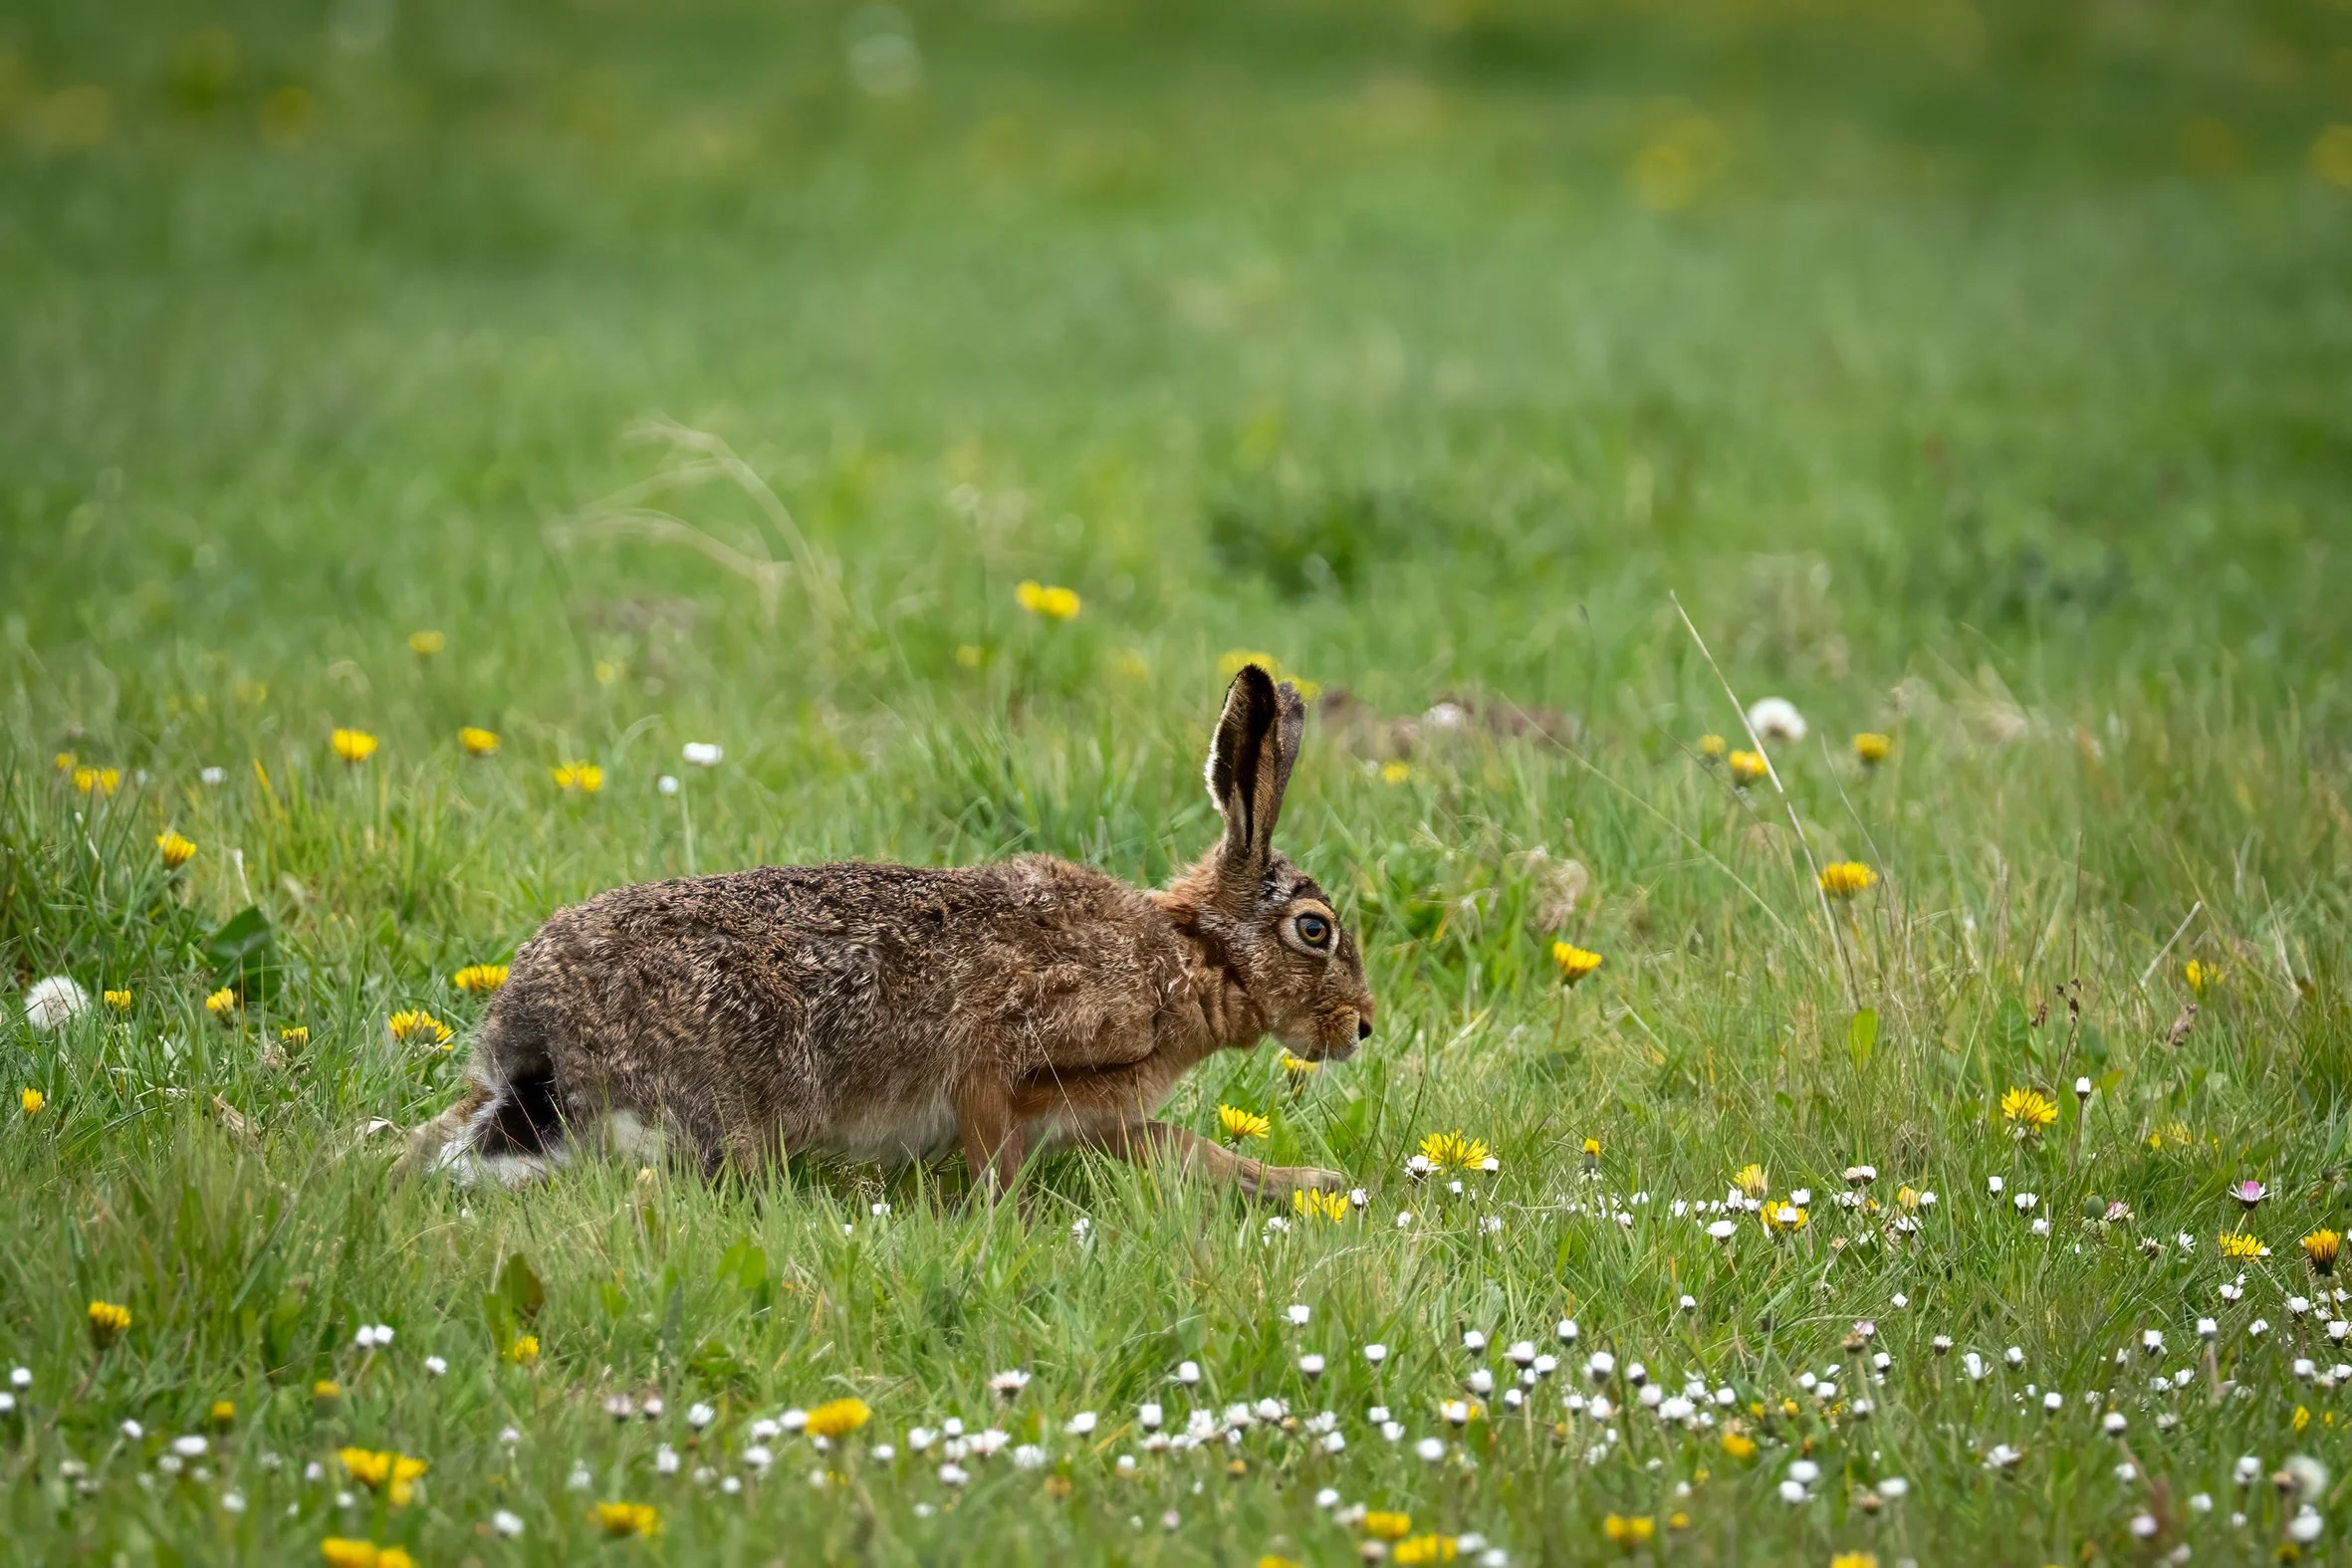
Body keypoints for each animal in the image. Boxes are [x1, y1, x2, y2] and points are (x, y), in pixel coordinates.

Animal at [402, 664, 1375, 1199]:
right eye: (1314, 929)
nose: (1364, 1028)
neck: (1192, 956)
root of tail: (530, 1027)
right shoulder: (1007, 1060)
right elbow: (995, 1158)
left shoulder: (1099, 1113)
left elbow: (1190, 1150)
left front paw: (1310, 1187)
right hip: (693, 1120)